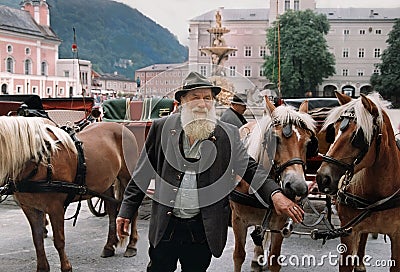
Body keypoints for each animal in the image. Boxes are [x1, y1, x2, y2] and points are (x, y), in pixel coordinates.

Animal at [0, 116, 139, 272]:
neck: (41, 161)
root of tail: (124, 128)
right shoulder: (30, 208)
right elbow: (37, 240)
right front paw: (42, 267)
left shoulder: (55, 208)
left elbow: (59, 240)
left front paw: (66, 267)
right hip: (106, 183)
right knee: (111, 210)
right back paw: (109, 246)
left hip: (128, 177)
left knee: (132, 208)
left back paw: (131, 245)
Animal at [230, 98, 318, 272]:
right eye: (276, 139)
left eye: (308, 142)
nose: (297, 187)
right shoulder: (237, 220)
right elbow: (238, 255)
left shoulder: (279, 224)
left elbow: (274, 259)